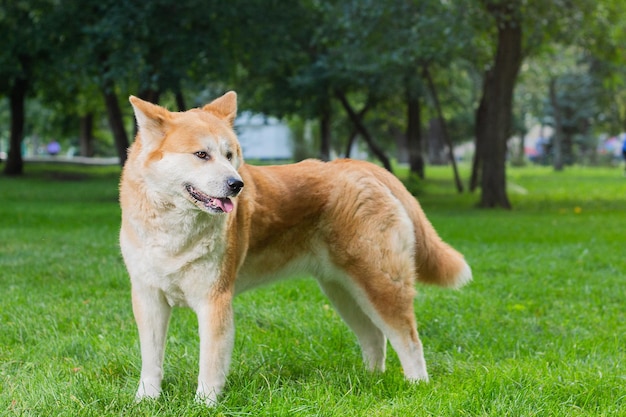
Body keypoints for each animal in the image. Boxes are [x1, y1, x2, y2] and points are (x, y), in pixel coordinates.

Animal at [118, 91, 468, 404]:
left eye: (230, 155)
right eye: (201, 154)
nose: (236, 185)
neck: (172, 227)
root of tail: (362, 166)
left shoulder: (214, 301)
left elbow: (210, 365)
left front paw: (204, 405)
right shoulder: (148, 298)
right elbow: (151, 360)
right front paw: (145, 401)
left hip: (380, 285)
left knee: (408, 341)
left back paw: (417, 387)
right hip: (344, 291)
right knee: (375, 337)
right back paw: (371, 382)